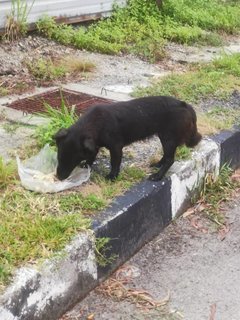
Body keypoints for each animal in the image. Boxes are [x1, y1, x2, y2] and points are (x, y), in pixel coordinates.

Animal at [53, 95, 202, 181]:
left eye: (73, 160)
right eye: (59, 158)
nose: (59, 177)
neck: (95, 123)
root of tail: (185, 105)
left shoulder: (116, 147)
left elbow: (114, 163)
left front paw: (112, 176)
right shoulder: (94, 145)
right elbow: (91, 155)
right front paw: (87, 164)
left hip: (168, 138)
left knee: (170, 159)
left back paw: (158, 176)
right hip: (164, 137)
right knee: (167, 156)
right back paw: (158, 164)